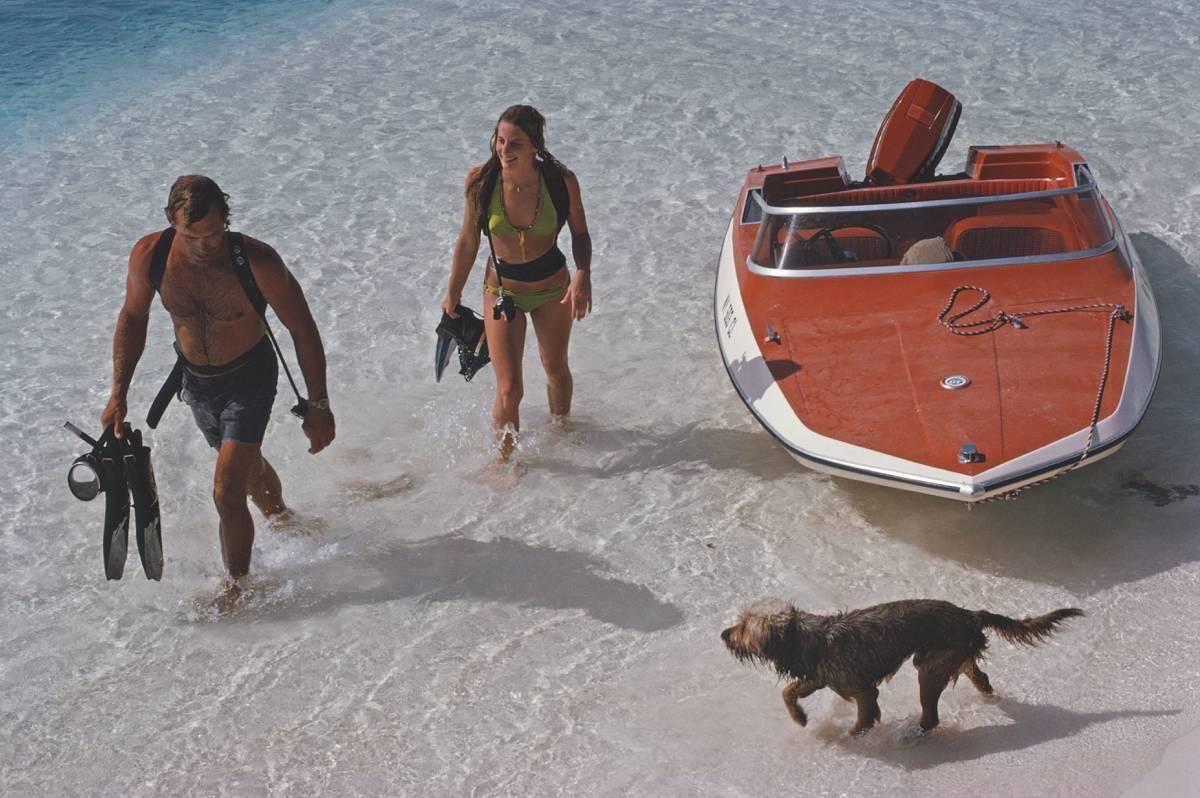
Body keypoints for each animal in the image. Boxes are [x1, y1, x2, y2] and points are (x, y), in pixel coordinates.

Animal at [720, 597, 1089, 734]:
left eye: (744, 628)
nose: (723, 634)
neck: (805, 637)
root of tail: (971, 614)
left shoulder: (860, 689)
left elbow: (862, 717)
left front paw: (853, 736)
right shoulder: (821, 677)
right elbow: (787, 690)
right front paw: (799, 716)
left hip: (929, 667)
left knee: (932, 716)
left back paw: (914, 735)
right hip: (952, 656)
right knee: (980, 676)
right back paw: (988, 696)